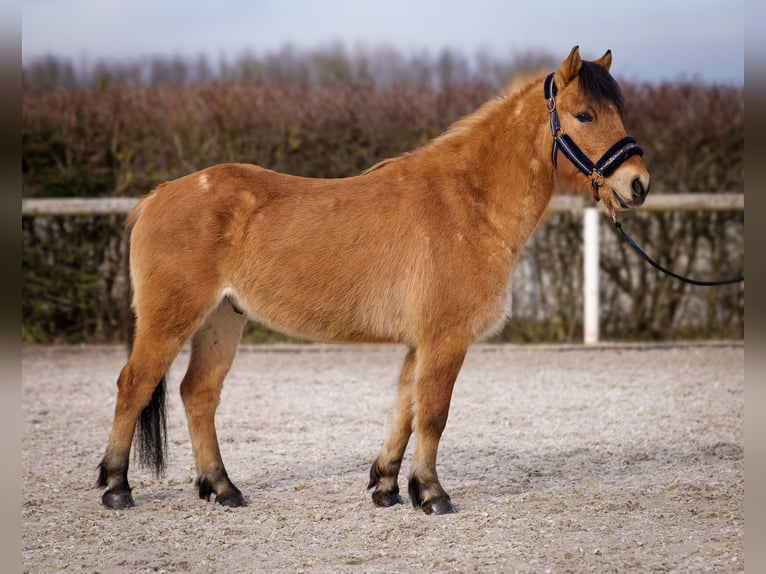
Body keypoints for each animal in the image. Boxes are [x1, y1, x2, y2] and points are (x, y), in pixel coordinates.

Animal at [94, 46, 648, 516]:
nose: (637, 184)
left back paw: (223, 488)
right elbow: (433, 413)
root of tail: (157, 196)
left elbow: (405, 409)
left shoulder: (420, 342)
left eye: (619, 111)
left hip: (221, 319)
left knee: (199, 394)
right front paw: (432, 494)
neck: (468, 202)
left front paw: (387, 487)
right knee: (134, 385)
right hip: (172, 319)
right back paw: (117, 487)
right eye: (585, 115)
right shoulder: (445, 339)